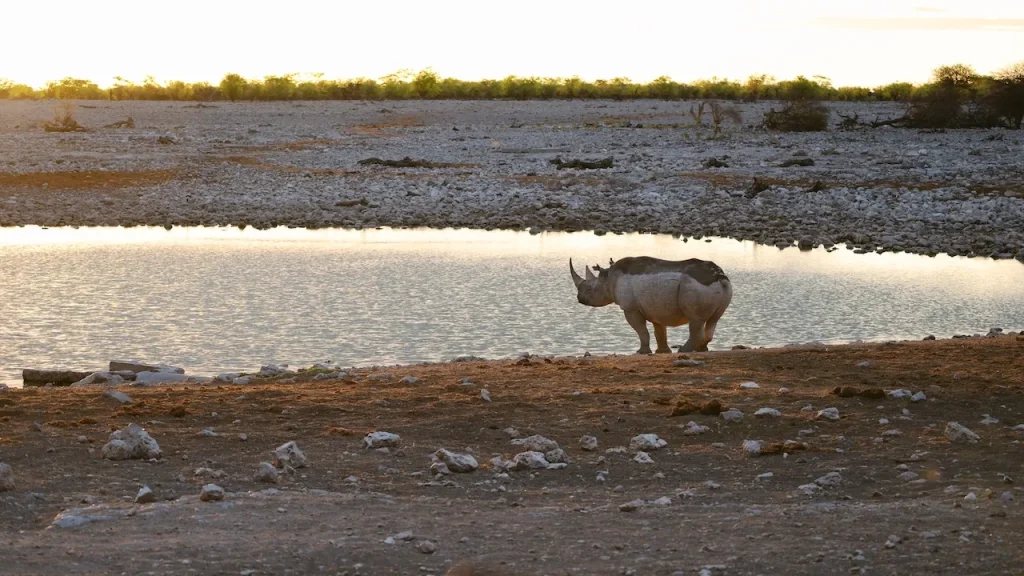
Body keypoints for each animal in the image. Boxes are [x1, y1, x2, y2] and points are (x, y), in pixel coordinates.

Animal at [569, 256, 733, 354]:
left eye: (589, 289)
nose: (579, 299)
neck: (608, 279)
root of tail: (719, 276)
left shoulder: (630, 309)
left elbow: (641, 330)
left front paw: (641, 352)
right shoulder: (656, 308)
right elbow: (659, 331)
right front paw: (662, 352)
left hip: (695, 286)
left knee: (696, 320)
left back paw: (684, 350)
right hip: (723, 288)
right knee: (713, 320)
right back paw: (701, 349)